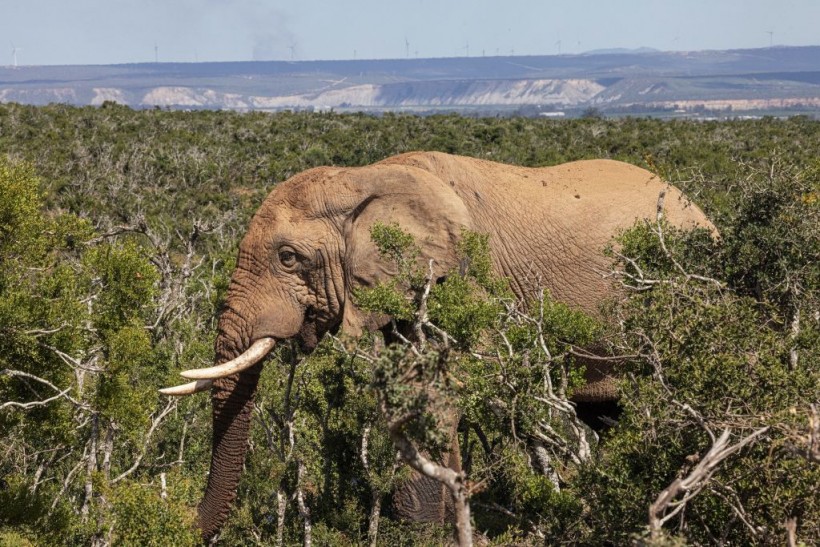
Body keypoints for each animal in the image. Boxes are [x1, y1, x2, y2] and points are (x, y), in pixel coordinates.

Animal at [160, 150, 712, 540]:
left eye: (289, 258)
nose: (177, 516)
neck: (366, 178)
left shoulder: (465, 278)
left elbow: (435, 391)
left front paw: (422, 534)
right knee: (609, 414)